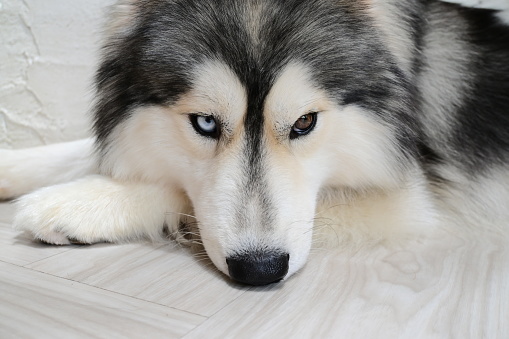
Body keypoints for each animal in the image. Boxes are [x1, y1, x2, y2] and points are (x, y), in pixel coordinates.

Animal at [0, 0, 508, 286]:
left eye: (304, 122)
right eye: (205, 122)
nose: (259, 270)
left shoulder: (413, 202)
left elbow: (177, 191)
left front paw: (86, 201)